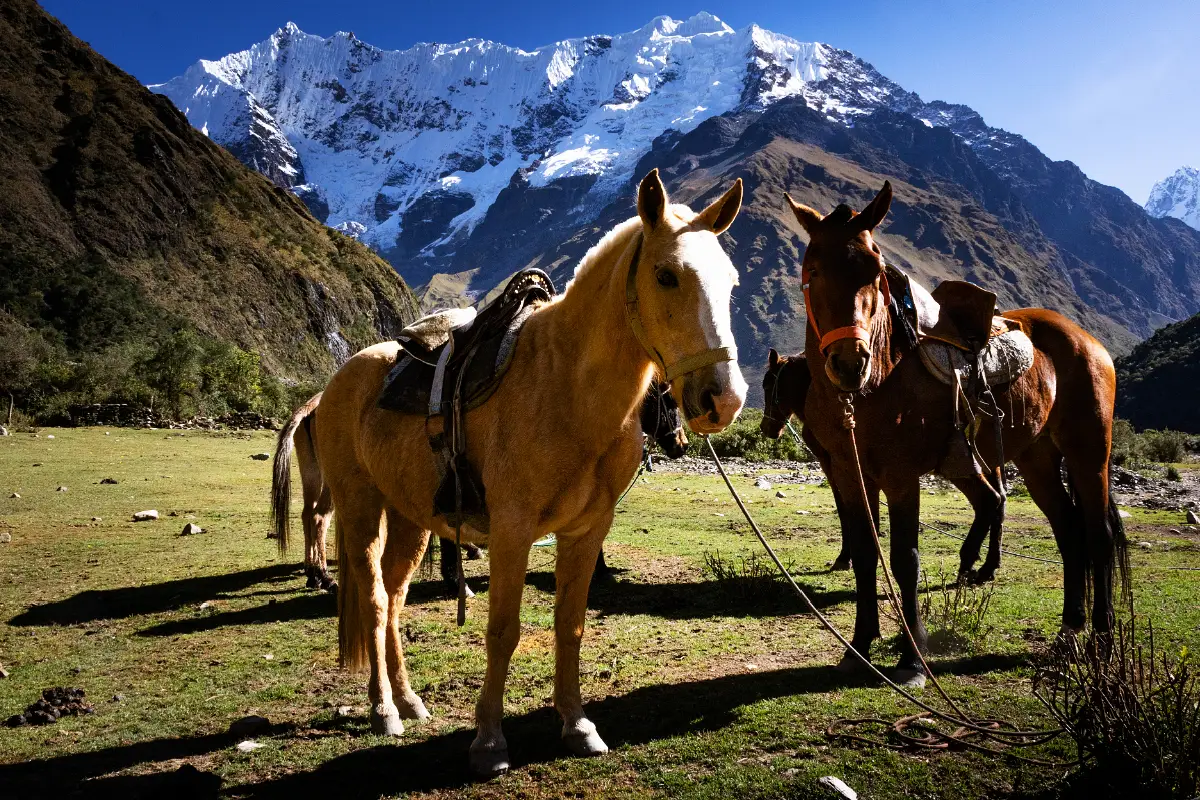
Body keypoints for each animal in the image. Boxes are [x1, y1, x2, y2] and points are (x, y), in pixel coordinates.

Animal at [271, 380, 688, 591]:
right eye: (668, 401)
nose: (681, 445)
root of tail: (310, 406)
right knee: (320, 518)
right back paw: (323, 575)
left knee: (312, 516)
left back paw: (317, 574)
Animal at [313, 169, 746, 776]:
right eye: (666, 276)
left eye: (730, 282)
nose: (723, 400)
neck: (565, 387)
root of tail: (340, 378)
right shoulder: (512, 532)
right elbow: (503, 630)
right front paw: (489, 741)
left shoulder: (586, 532)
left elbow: (571, 624)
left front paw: (578, 725)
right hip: (359, 508)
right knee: (375, 600)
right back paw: (383, 710)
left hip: (410, 517)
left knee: (395, 597)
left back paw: (409, 699)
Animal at [760, 351, 1007, 583]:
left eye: (767, 385)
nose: (766, 428)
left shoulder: (834, 465)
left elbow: (842, 507)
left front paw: (845, 557)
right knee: (999, 502)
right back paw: (988, 567)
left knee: (990, 500)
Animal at [786, 181, 1127, 687]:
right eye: (812, 269)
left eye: (876, 271)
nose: (849, 363)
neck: (878, 382)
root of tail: (1089, 342)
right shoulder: (850, 475)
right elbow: (866, 554)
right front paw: (859, 647)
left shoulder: (901, 476)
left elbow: (904, 559)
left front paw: (911, 660)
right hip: (1038, 459)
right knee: (1068, 532)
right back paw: (1068, 631)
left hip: (1089, 453)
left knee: (1097, 536)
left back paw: (1101, 644)